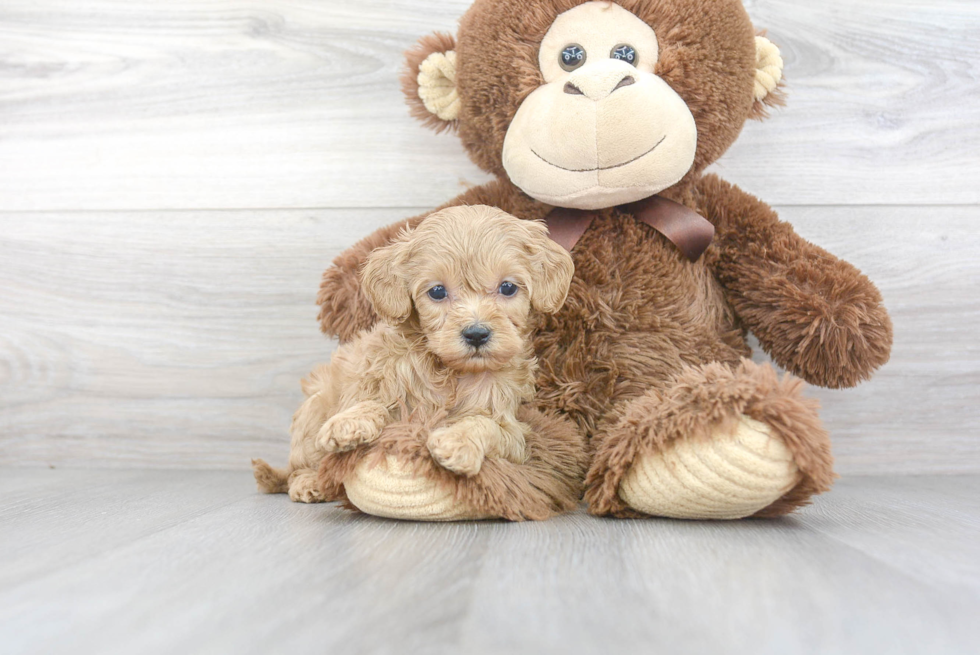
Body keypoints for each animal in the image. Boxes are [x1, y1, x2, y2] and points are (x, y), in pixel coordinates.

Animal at [253, 205, 576, 502]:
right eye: (437, 292)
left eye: (507, 287)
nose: (476, 334)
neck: (450, 371)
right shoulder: (378, 378)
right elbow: (374, 402)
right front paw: (349, 422)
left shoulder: (513, 431)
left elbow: (485, 424)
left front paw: (458, 441)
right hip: (313, 410)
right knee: (297, 467)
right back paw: (308, 482)